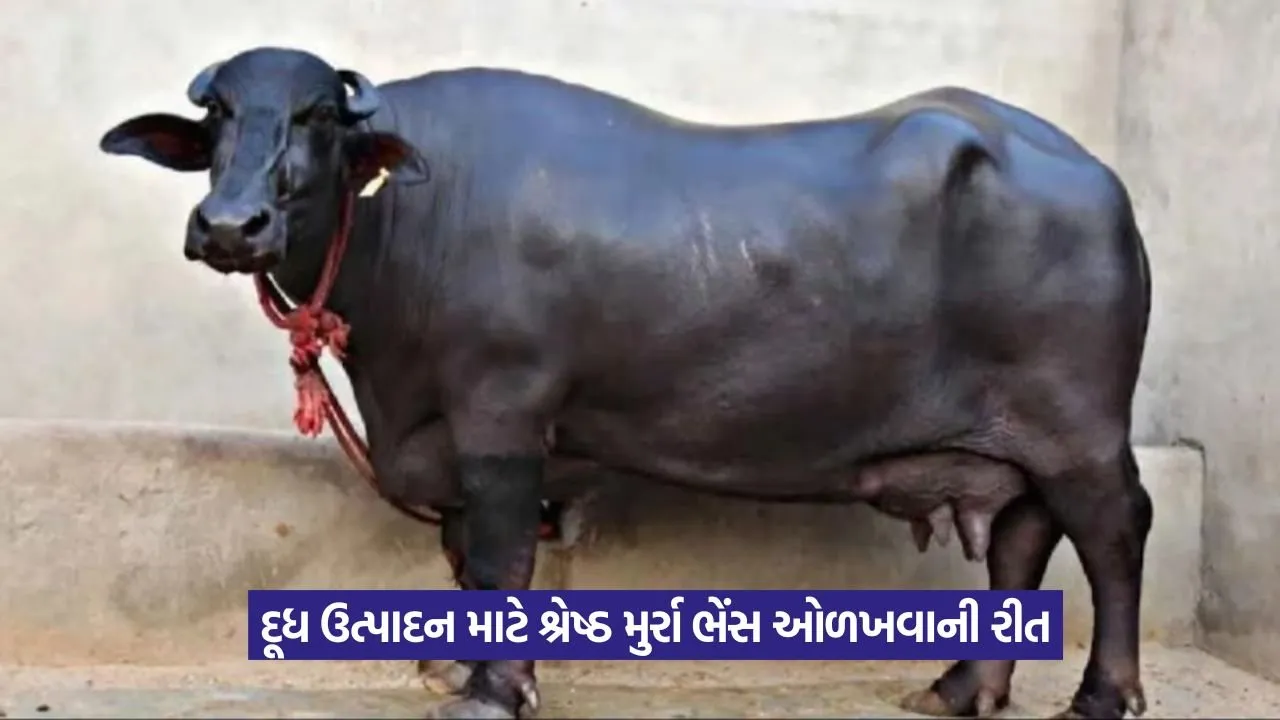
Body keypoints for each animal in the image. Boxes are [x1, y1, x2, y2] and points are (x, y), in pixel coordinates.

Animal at [100, 46, 1153, 719]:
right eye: (217, 116)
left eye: (317, 116)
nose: (230, 225)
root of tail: (1097, 179)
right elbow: (465, 557)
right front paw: (454, 666)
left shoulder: (502, 411)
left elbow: (501, 556)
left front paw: (492, 691)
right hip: (1022, 439)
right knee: (1022, 539)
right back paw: (964, 687)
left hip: (1081, 427)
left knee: (1111, 532)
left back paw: (1101, 696)